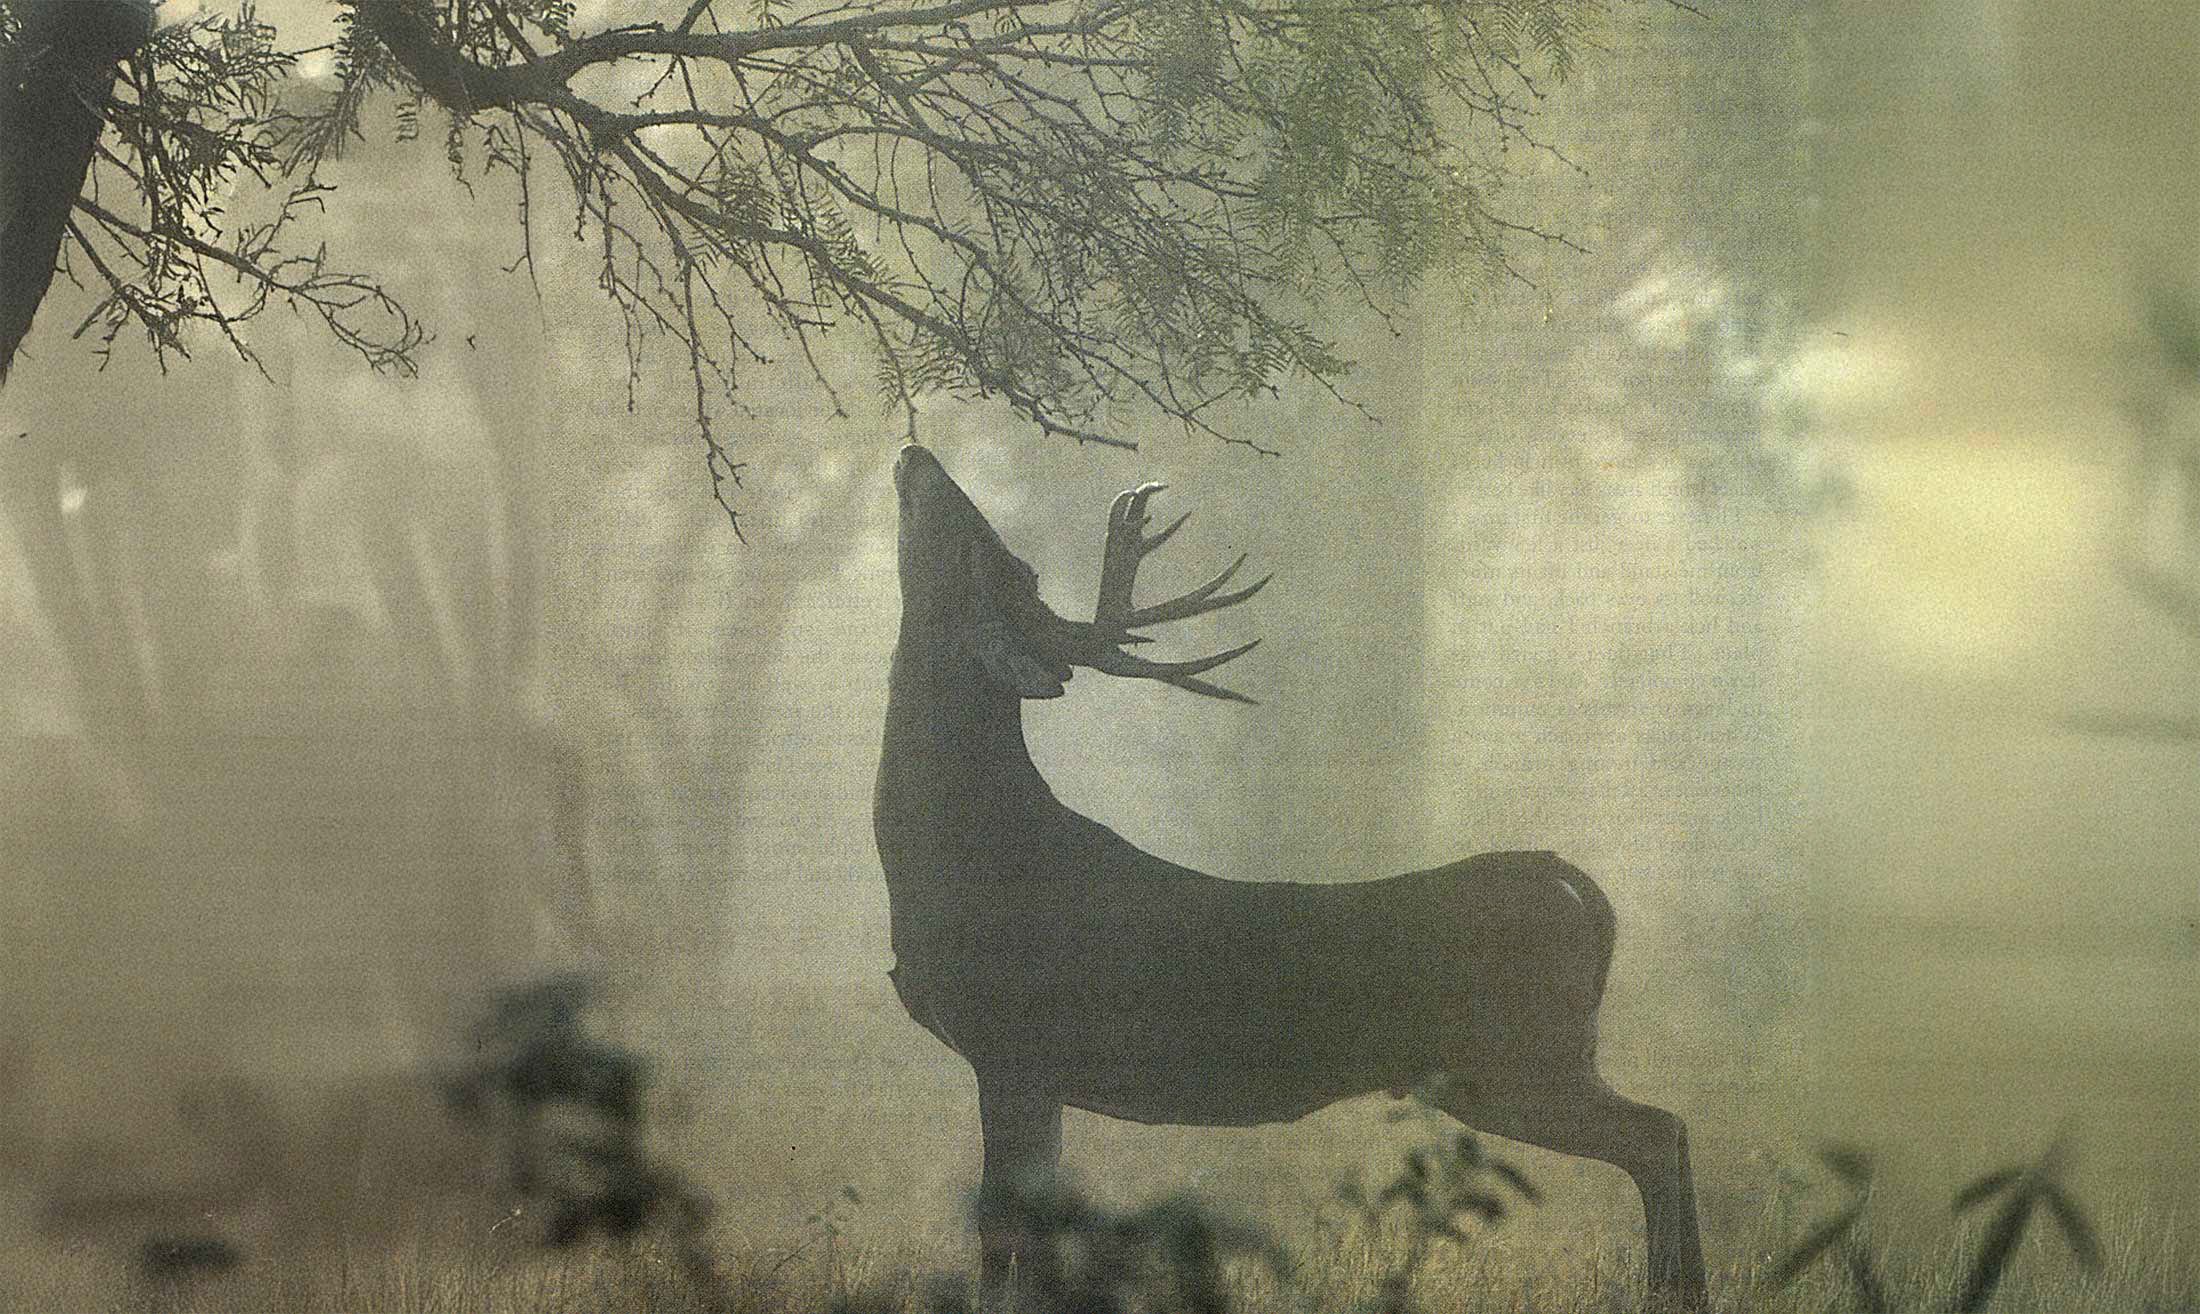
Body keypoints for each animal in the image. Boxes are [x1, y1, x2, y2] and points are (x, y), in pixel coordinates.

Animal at [873, 444, 1708, 1308]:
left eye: (1000, 562)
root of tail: (1560, 876)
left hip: (1514, 1054)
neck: (970, 858)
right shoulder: (1032, 1069)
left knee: (1655, 1133)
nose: (918, 454)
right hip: (1520, 1060)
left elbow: (1000, 1232)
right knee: (1668, 1129)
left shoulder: (1015, 1045)